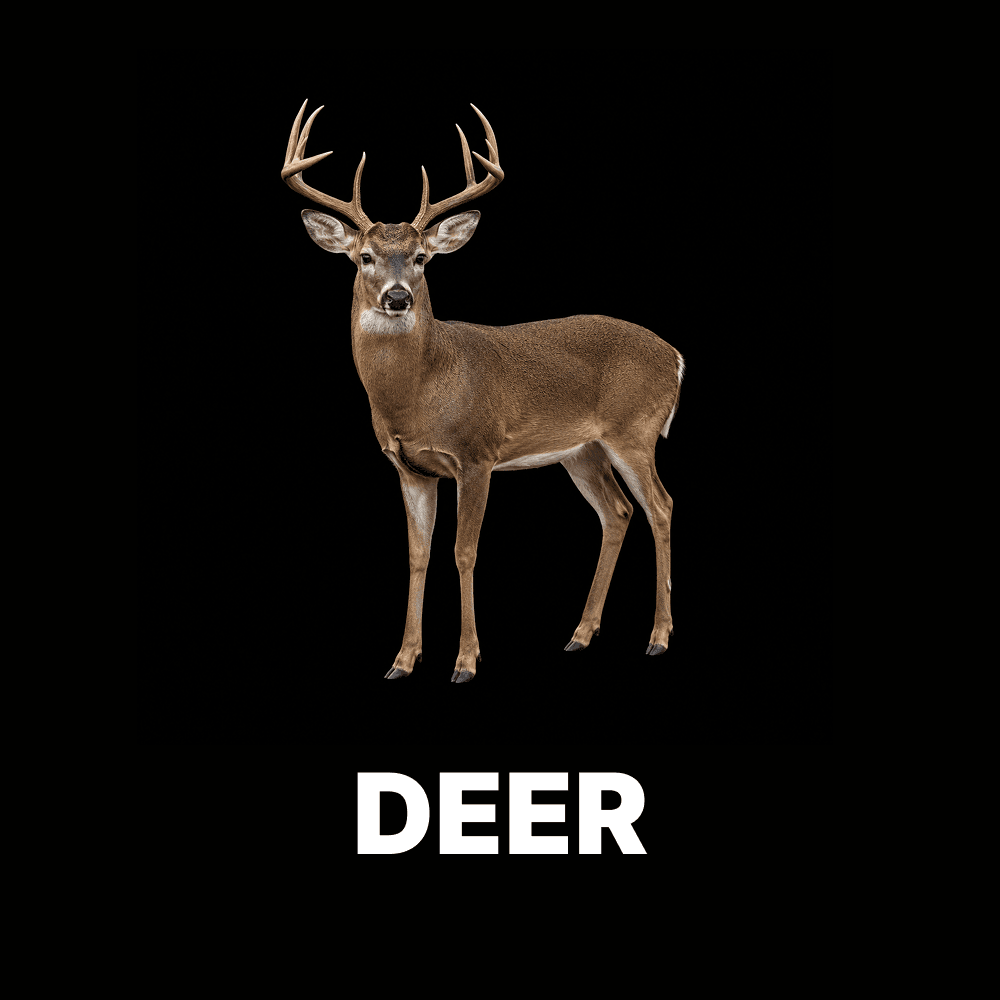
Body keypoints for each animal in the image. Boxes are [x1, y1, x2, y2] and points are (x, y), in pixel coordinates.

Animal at [282, 100, 685, 683]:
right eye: (363, 257)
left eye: (422, 257)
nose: (398, 297)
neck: (422, 391)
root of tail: (675, 356)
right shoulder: (409, 467)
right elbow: (418, 555)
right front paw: (402, 660)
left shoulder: (477, 455)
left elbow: (464, 551)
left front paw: (466, 661)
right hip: (582, 450)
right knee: (618, 512)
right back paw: (580, 635)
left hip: (635, 431)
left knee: (661, 506)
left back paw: (657, 637)